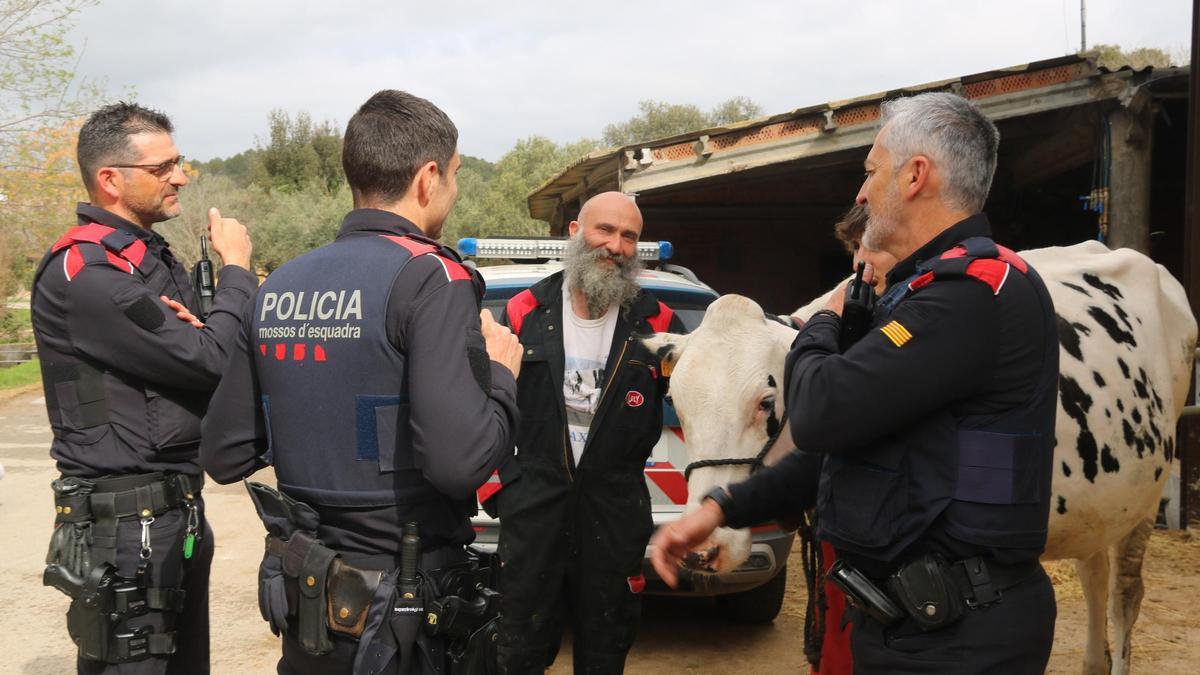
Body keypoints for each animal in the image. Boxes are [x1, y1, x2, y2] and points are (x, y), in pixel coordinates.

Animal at [652, 241, 1195, 672]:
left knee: (1123, 596)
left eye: (766, 401)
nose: (703, 548)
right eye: (675, 399)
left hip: (1145, 498)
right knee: (1094, 574)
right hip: (1101, 503)